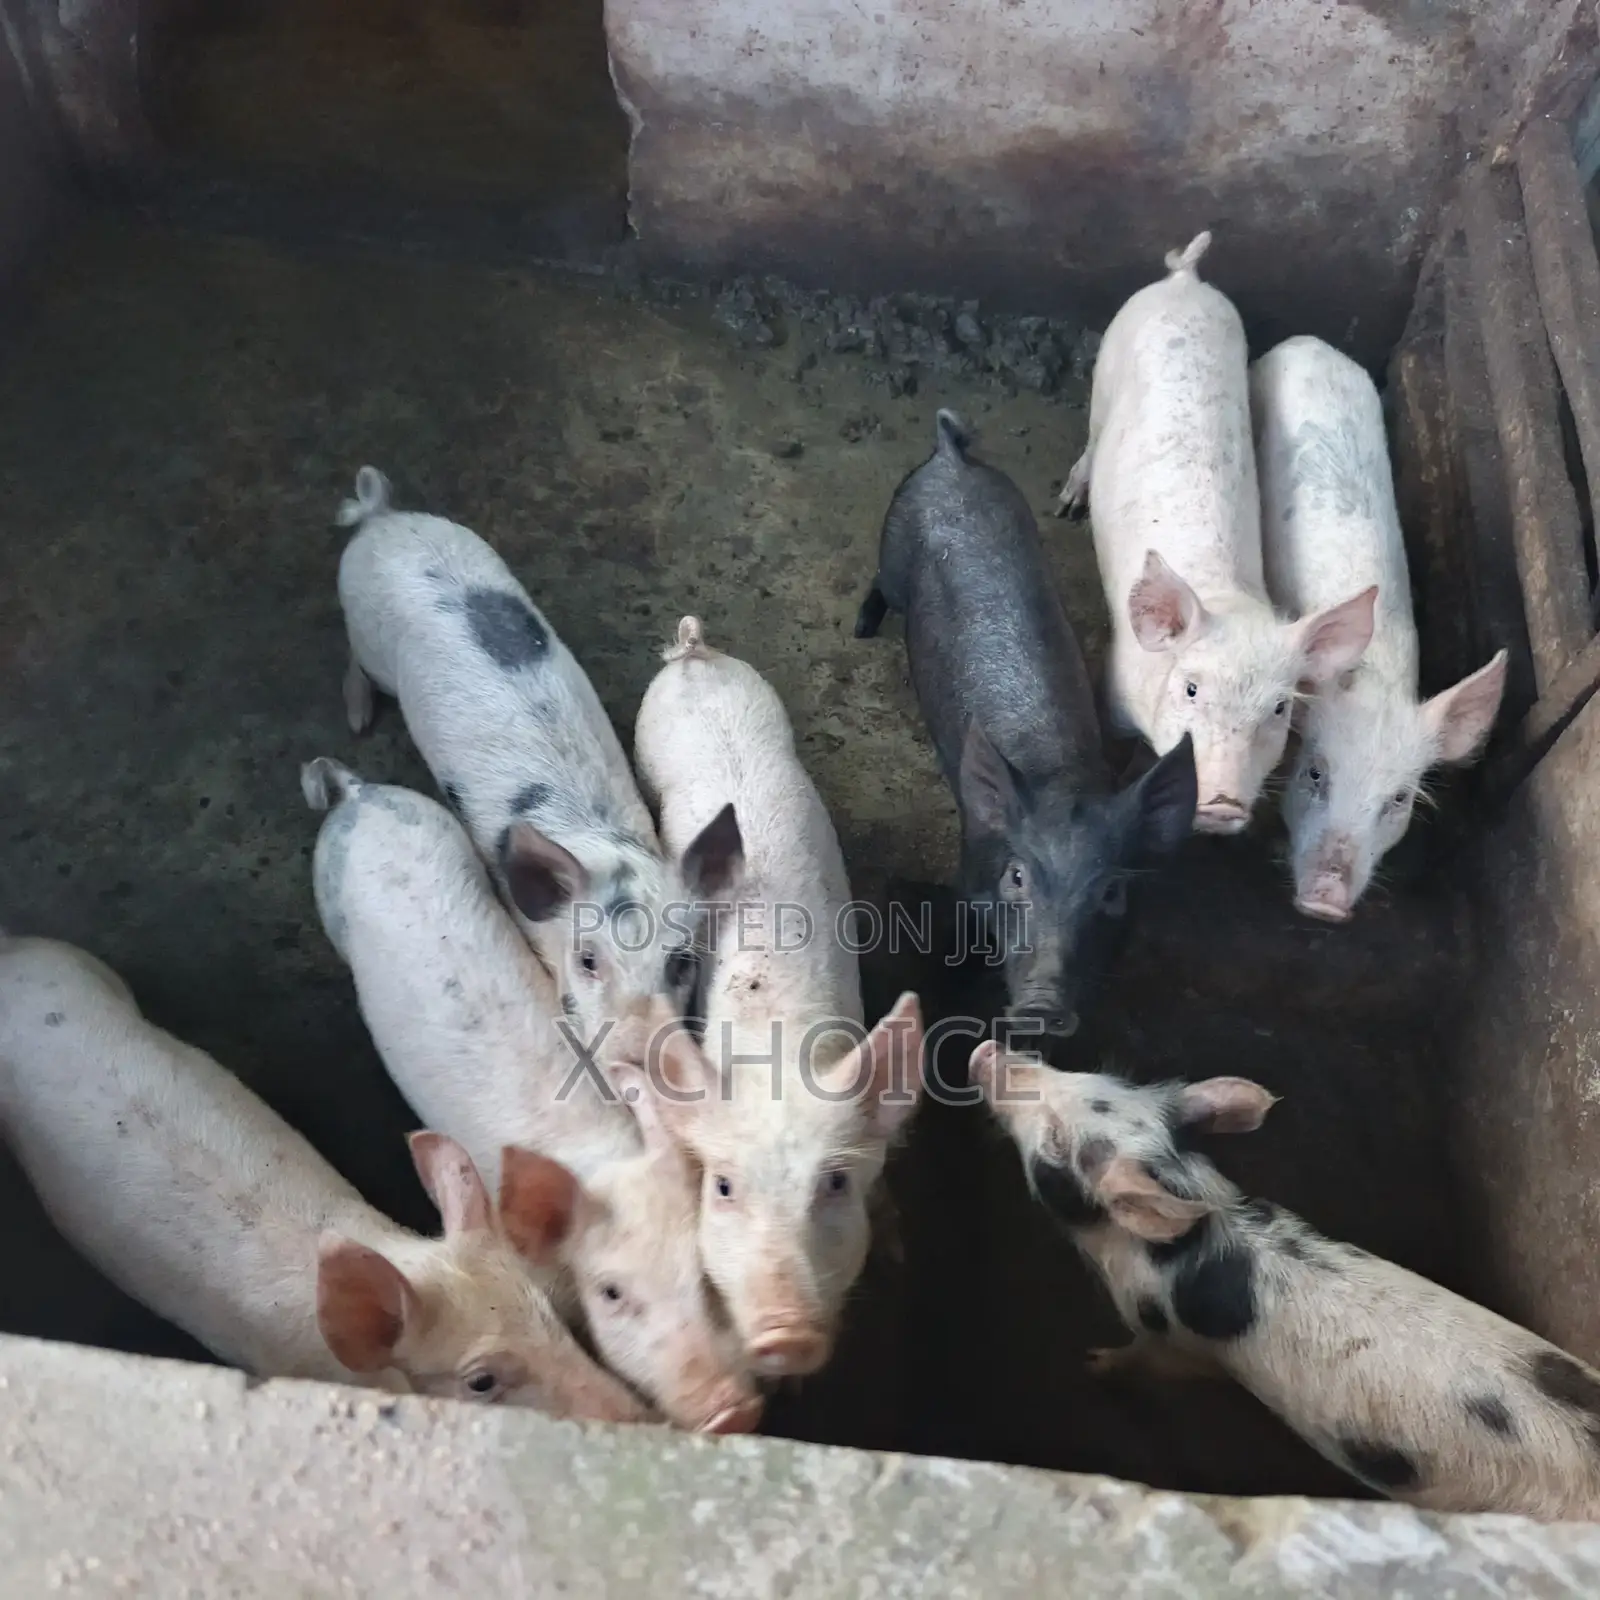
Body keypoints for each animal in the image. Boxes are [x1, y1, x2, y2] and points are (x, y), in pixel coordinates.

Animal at [334, 466, 742, 1063]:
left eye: (681, 962)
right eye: (588, 960)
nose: (643, 1052)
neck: (605, 845)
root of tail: (383, 517)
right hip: (364, 632)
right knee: (355, 661)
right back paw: (358, 719)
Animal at [632, 618, 925, 1378]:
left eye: (835, 1184)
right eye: (723, 1187)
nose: (785, 1333)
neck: (781, 1047)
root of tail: (696, 654)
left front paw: (897, 1249)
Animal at [855, 410, 1197, 1037]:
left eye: (1112, 893)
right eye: (1017, 878)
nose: (1041, 1007)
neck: (1063, 778)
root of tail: (951, 458)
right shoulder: (970, 867)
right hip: (893, 544)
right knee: (879, 585)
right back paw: (862, 629)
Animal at [974, 1043, 1600, 1521]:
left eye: (1056, 1146)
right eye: (1093, 1076)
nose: (985, 1051)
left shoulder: (1171, 1344)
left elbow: (1141, 1359)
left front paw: (1092, 1363)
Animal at [1059, 232, 1378, 834]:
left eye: (1278, 708)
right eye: (1191, 688)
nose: (1221, 804)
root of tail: (1185, 279)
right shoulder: (1113, 688)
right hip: (1108, 363)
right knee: (1091, 436)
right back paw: (1070, 502)